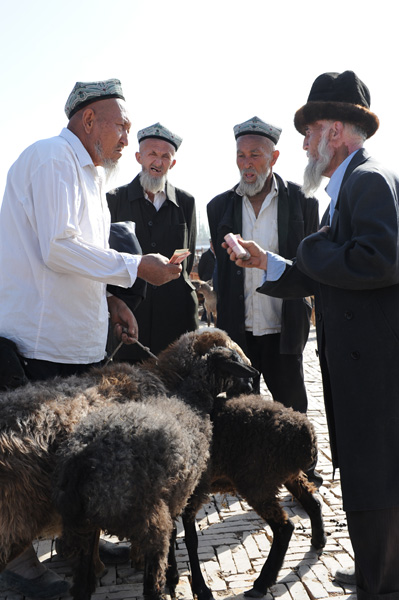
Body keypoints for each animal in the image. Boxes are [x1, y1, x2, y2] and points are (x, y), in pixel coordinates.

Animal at [180, 394, 326, 600]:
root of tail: (306, 435)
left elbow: (190, 539)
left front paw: (200, 589)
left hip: (257, 482)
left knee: (284, 527)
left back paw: (261, 583)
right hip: (286, 476)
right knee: (313, 503)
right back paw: (319, 541)